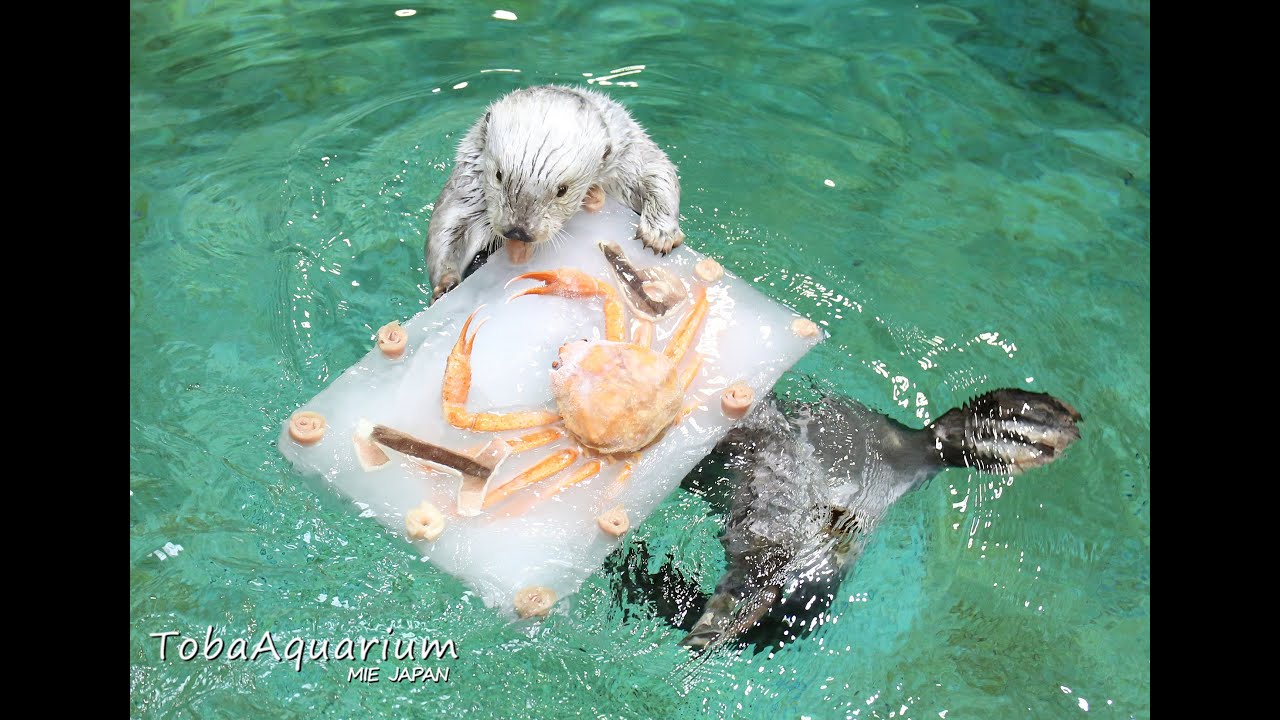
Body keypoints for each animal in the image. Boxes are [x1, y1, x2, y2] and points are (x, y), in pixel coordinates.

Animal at [426, 85, 684, 300]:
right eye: (499, 175)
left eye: (562, 190)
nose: (518, 230)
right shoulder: (469, 182)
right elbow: (448, 225)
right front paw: (446, 284)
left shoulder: (628, 157)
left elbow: (658, 172)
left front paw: (659, 233)